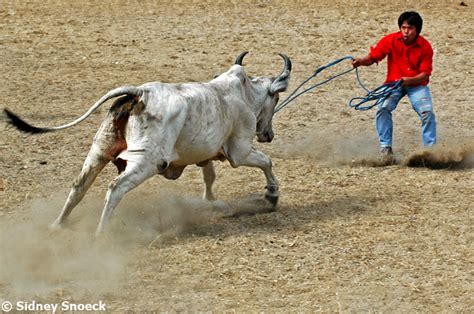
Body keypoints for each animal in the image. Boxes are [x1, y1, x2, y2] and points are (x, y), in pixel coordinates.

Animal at [4, 52, 292, 233]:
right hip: (147, 161)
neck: (244, 93)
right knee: (116, 188)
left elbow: (209, 176)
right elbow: (265, 161)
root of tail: (140, 93)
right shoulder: (239, 151)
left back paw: (58, 224)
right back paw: (100, 232)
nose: (268, 134)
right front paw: (271, 195)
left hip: (99, 151)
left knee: (79, 186)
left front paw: (210, 201)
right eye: (276, 99)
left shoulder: (205, 154)